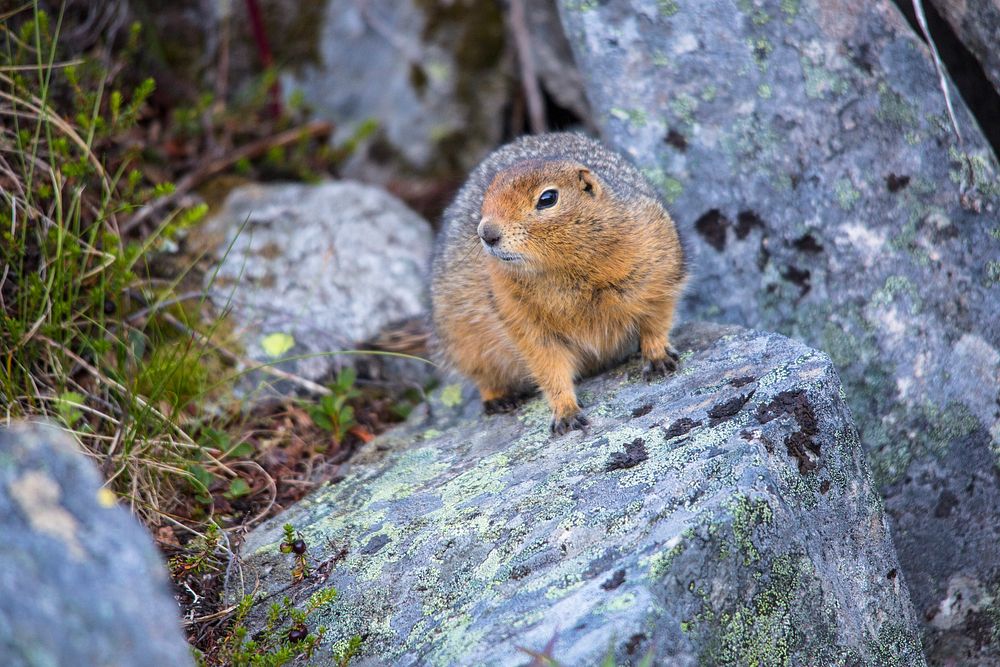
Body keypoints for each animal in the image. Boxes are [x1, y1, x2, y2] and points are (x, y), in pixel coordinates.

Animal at [426, 133, 684, 436]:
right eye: (486, 195)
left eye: (547, 198)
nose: (486, 233)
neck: (565, 269)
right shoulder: (521, 319)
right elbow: (548, 366)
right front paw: (566, 414)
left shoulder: (659, 271)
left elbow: (657, 319)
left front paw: (658, 359)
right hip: (462, 337)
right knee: (483, 375)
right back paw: (500, 399)